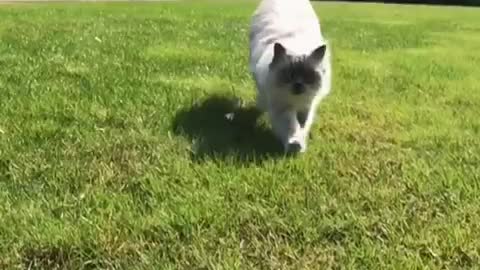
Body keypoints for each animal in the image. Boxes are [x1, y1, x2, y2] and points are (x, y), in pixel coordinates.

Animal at [249, 0, 332, 154]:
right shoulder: (282, 106)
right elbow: (290, 125)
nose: (298, 84)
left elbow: (303, 125)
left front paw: (301, 141)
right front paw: (294, 144)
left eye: (308, 76)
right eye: (289, 75)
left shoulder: (306, 106)